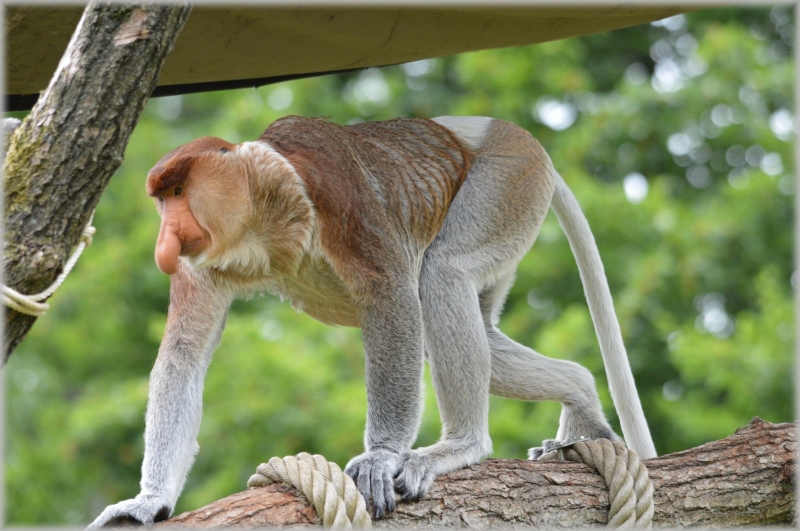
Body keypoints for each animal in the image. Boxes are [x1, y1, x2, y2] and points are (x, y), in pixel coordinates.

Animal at [87, 116, 652, 528]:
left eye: (179, 192)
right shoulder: (203, 263)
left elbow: (392, 296)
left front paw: (380, 457)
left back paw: (460, 447)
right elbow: (183, 356)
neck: (264, 220)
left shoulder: (334, 184)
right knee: (482, 332)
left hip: (510, 178)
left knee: (441, 275)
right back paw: (582, 404)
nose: (165, 241)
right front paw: (146, 502)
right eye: (163, 199)